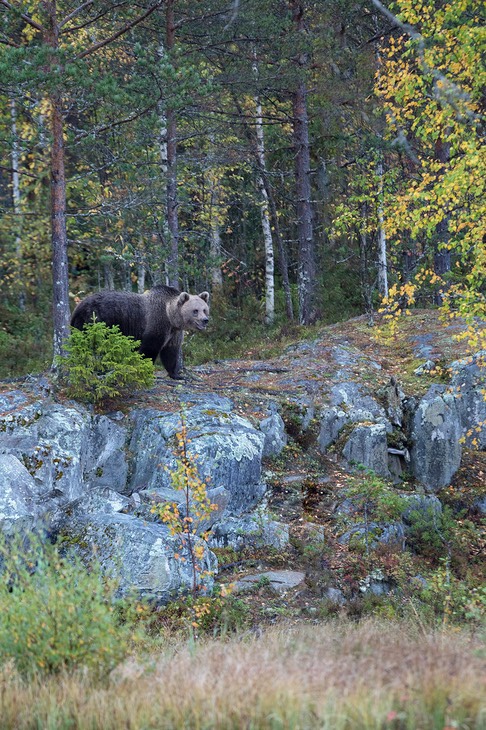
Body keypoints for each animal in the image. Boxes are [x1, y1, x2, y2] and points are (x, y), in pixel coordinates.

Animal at [70, 284, 209, 378]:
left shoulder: (173, 333)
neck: (171, 317)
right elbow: (149, 349)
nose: (205, 320)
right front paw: (145, 370)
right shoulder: (156, 323)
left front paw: (176, 374)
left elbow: (170, 352)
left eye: (205, 309)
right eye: (195, 311)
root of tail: (77, 307)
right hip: (94, 321)